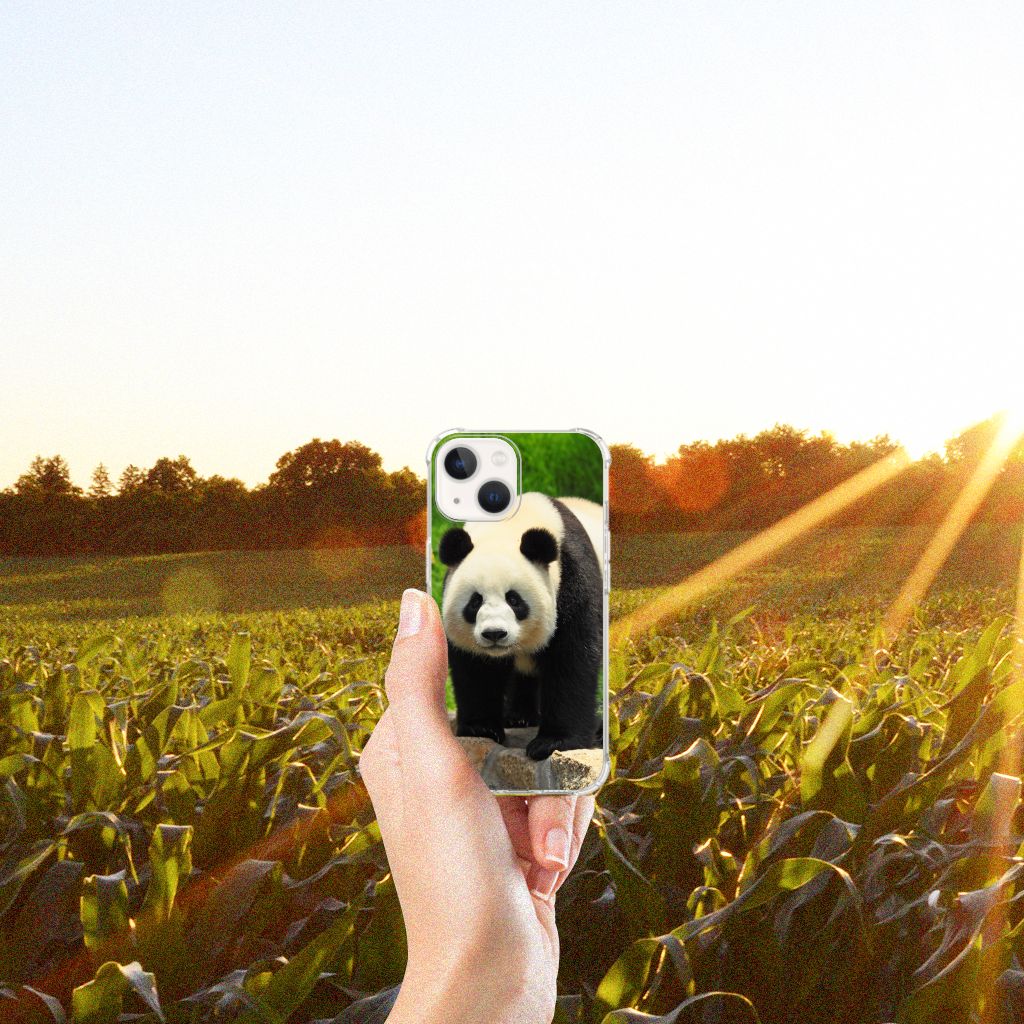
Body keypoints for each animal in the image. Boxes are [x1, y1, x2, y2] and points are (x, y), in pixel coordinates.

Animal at [438, 491, 604, 761]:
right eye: (475, 601)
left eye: (514, 600)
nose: (494, 634)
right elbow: (476, 668)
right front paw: (481, 727)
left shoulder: (573, 580)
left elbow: (572, 659)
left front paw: (553, 742)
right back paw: (519, 716)